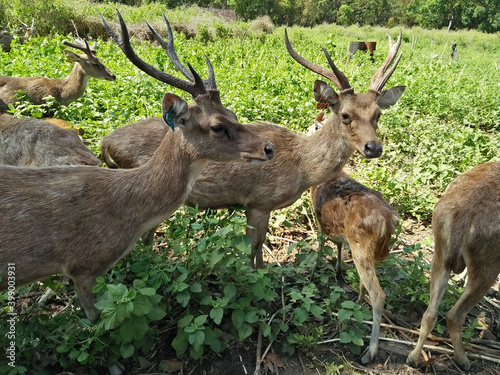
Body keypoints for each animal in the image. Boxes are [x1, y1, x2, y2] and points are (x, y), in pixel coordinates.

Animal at [0, 11, 274, 326]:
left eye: (233, 114)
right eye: (217, 126)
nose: (268, 148)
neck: (125, 215)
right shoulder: (83, 265)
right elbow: (96, 322)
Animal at [99, 27, 404, 274]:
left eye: (377, 114)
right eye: (345, 115)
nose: (374, 147)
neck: (301, 168)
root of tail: (105, 143)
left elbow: (261, 245)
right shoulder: (258, 201)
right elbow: (254, 246)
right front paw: (256, 277)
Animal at [406, 162, 500, 374]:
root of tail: (464, 218)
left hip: (440, 249)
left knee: (430, 312)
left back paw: (414, 358)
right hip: (489, 262)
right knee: (454, 315)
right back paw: (463, 360)